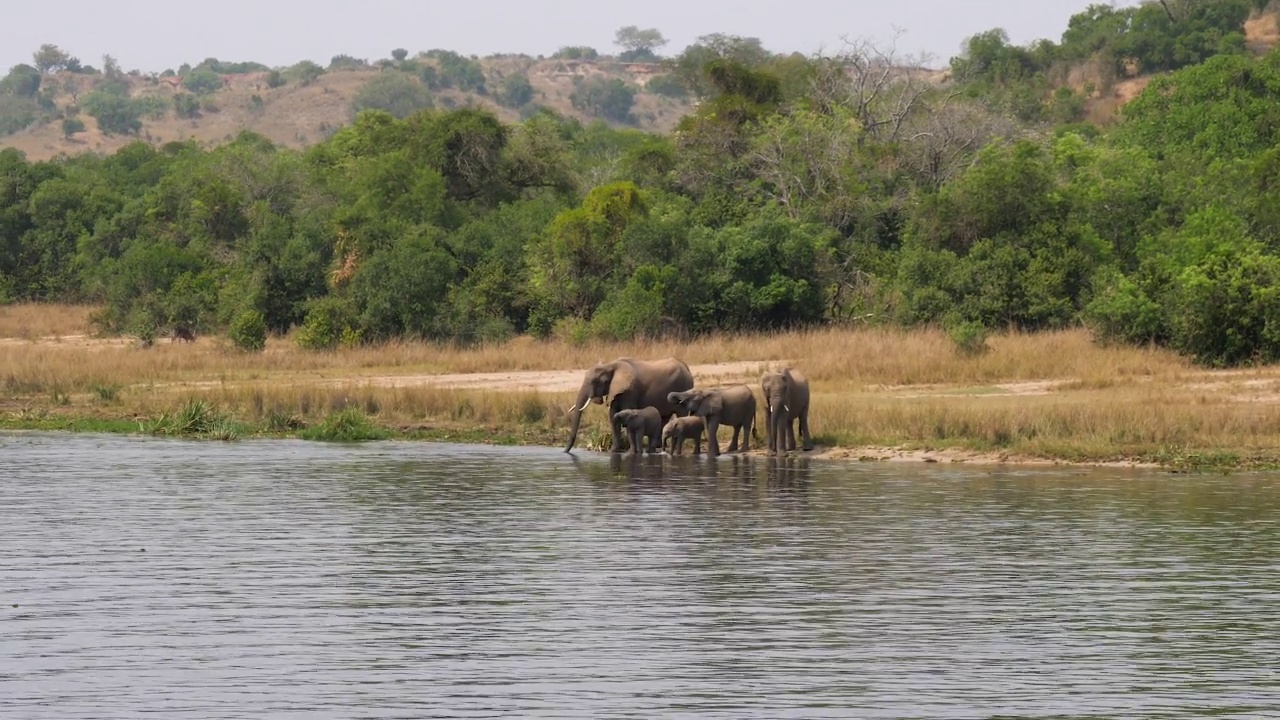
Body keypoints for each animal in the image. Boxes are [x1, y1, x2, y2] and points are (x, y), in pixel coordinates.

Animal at [565, 356, 696, 450]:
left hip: (684, 388)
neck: (611, 365)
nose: (566, 452)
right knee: (664, 418)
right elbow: (613, 416)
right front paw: (614, 450)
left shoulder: (630, 391)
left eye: (597, 382)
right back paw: (658, 446)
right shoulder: (616, 391)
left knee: (680, 414)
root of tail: (686, 367)